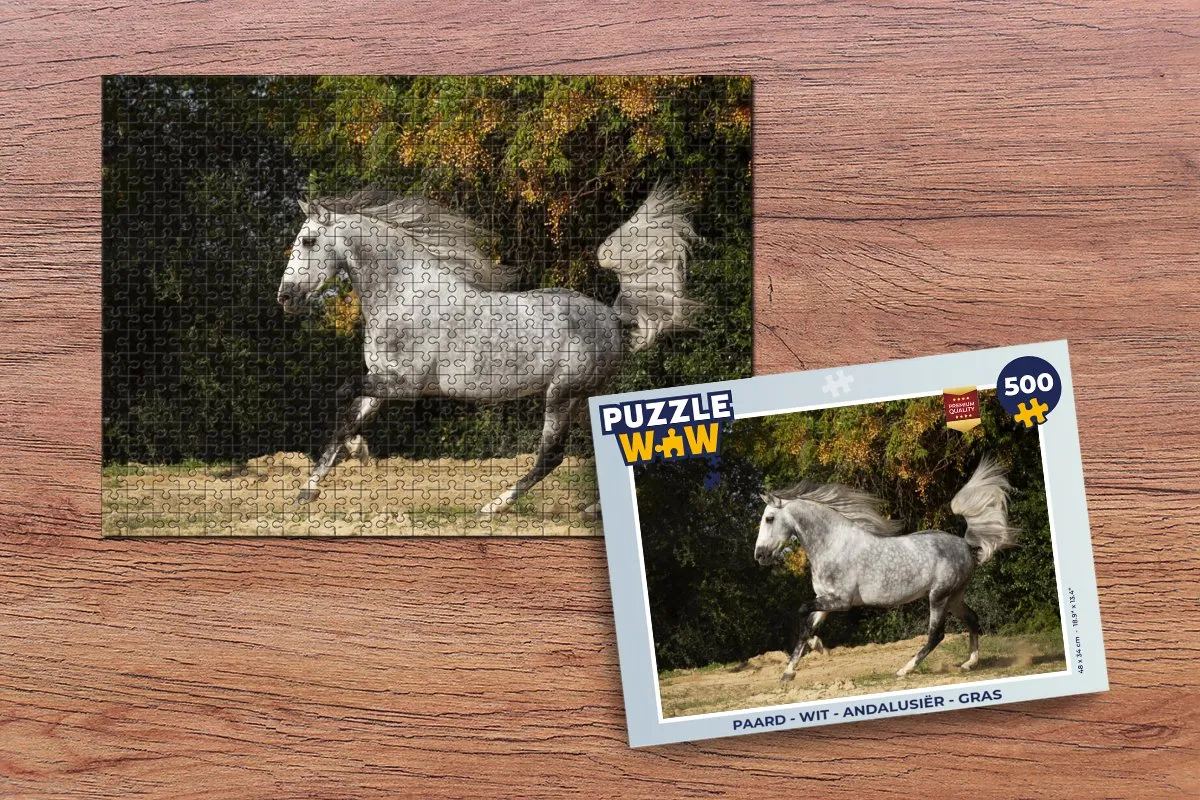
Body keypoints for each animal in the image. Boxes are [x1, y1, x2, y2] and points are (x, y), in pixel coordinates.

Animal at [277, 183, 697, 513]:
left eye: (308, 241)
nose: (286, 297)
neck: (403, 294)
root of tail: (613, 317)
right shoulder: (381, 382)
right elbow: (346, 419)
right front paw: (307, 491)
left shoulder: (405, 385)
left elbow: (343, 396)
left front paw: (356, 451)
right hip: (583, 399)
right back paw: (592, 508)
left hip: (562, 394)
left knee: (550, 456)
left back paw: (495, 506)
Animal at [753, 458, 1019, 683]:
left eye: (769, 518)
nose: (760, 556)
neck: (833, 544)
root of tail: (966, 546)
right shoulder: (825, 599)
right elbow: (807, 627)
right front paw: (788, 673)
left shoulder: (840, 601)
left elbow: (802, 612)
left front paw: (818, 647)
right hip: (954, 597)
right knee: (972, 620)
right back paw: (968, 664)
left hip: (939, 597)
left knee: (936, 635)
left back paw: (904, 670)